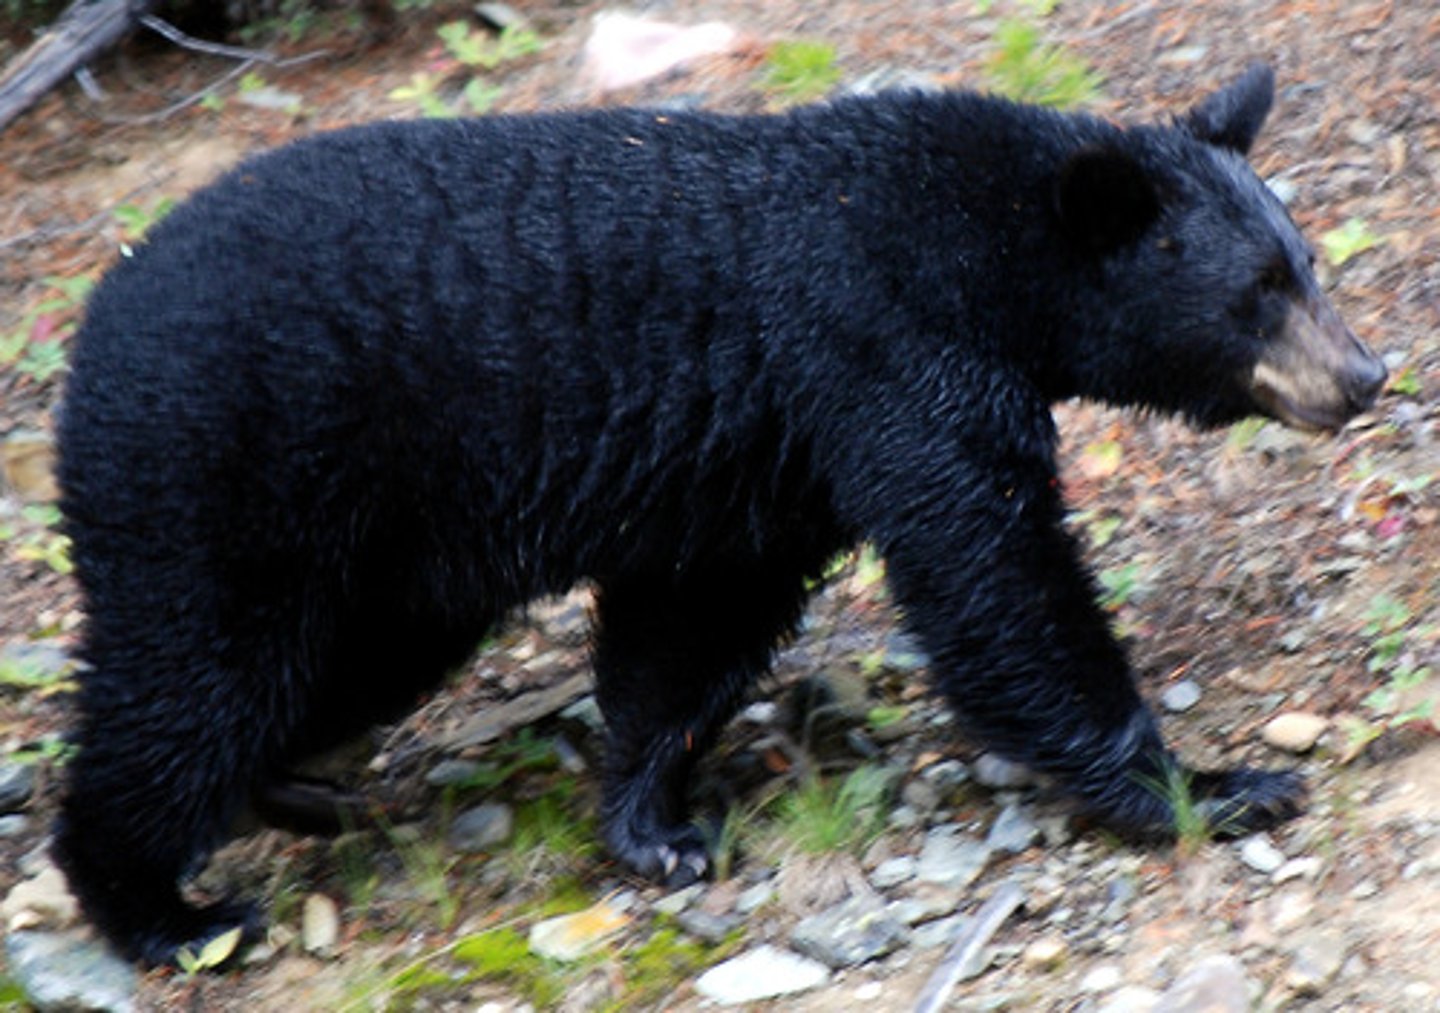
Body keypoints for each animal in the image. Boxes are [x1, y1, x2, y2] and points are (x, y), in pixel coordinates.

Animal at [54, 63, 1385, 965]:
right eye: (1260, 291)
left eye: (1305, 259)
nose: (1366, 374)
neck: (987, 250)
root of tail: (91, 328)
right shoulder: (886, 350)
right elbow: (997, 580)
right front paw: (1212, 783)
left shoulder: (770, 455)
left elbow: (692, 627)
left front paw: (653, 825)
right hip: (224, 477)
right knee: (191, 682)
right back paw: (164, 910)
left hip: (383, 554)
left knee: (337, 667)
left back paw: (296, 791)